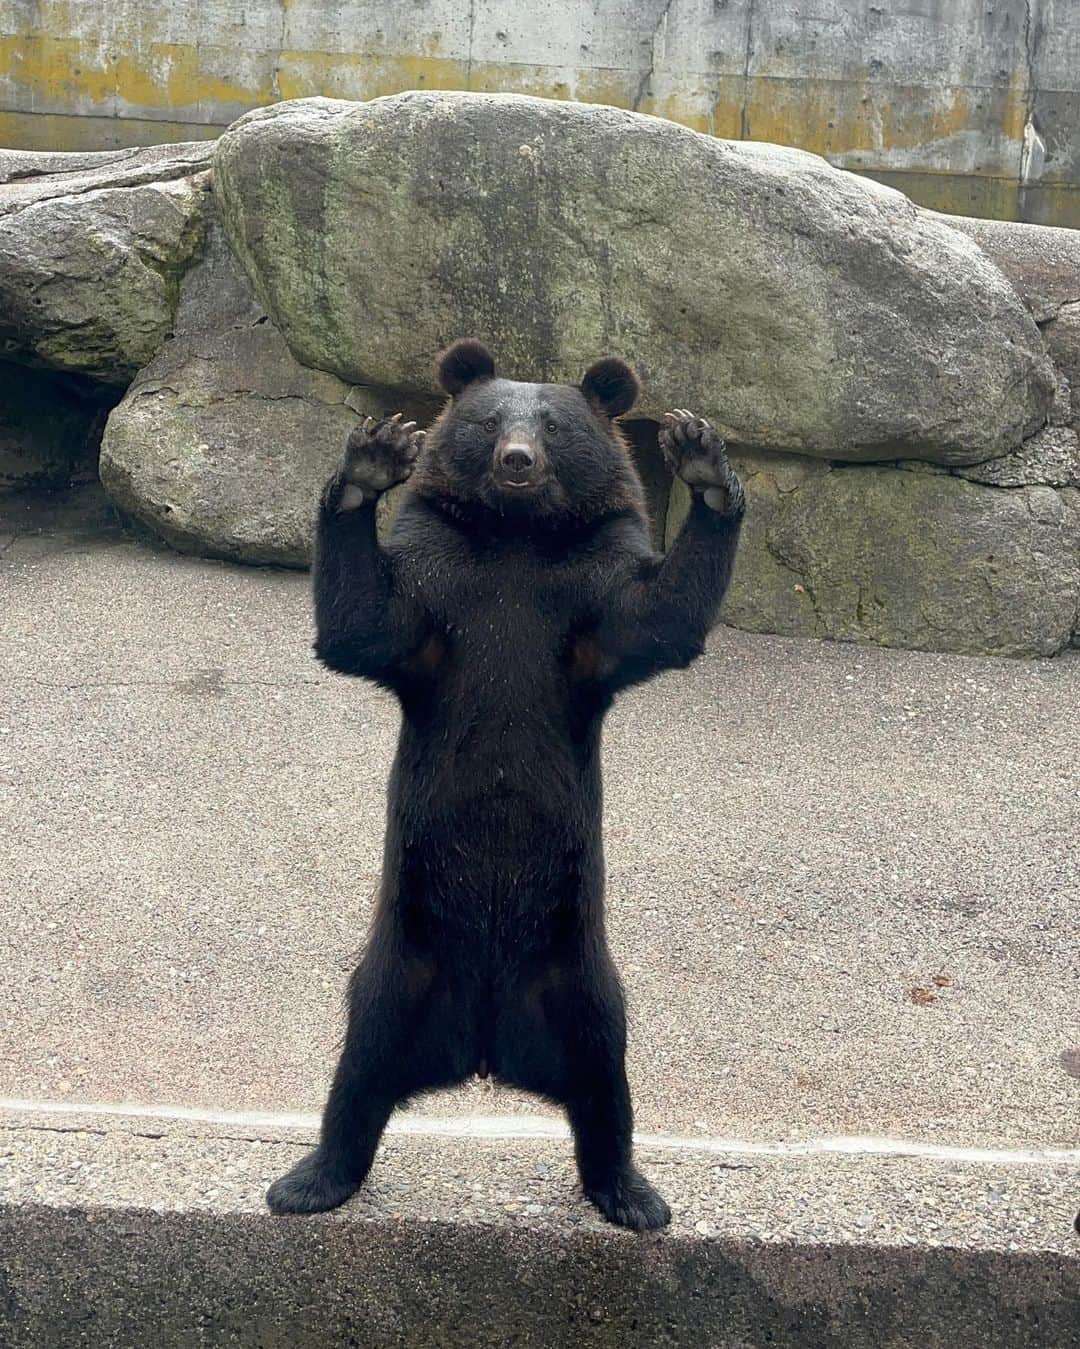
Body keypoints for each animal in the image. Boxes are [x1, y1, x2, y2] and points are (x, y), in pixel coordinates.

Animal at [265, 339, 744, 1235]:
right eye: (490, 421)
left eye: (553, 424)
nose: (517, 461)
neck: (518, 541)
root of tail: (486, 1046)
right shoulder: (440, 591)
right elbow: (364, 624)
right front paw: (370, 459)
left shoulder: (586, 599)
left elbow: (657, 617)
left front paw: (702, 459)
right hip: (401, 960)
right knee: (358, 1065)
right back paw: (310, 1178)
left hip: (579, 970)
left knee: (605, 1075)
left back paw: (632, 1192)